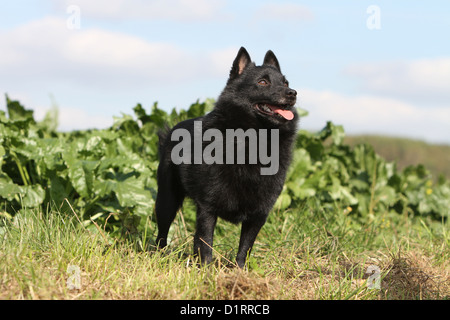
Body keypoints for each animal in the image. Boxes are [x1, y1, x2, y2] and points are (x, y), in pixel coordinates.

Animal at [156, 47, 298, 268]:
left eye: (285, 82)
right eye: (262, 82)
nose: (292, 93)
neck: (254, 141)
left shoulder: (259, 214)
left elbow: (245, 248)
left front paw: (239, 272)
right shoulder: (207, 208)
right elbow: (205, 243)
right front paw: (206, 270)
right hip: (166, 200)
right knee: (161, 233)